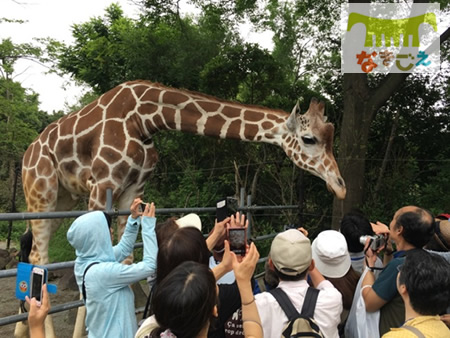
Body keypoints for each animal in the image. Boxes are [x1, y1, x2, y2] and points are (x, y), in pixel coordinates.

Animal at [18, 80, 344, 338]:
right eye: (309, 139)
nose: (340, 186)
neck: (145, 118)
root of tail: (27, 153)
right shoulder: (103, 182)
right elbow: (89, 268)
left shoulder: (133, 189)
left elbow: (126, 260)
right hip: (41, 192)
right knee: (39, 255)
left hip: (63, 199)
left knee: (31, 248)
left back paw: (23, 326)